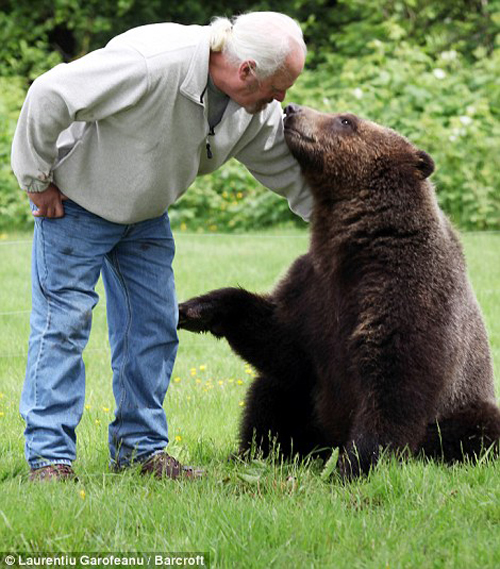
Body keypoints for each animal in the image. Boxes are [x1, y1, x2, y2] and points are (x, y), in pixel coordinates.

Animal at [179, 103, 500, 480]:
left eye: (346, 120)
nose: (292, 109)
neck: (354, 244)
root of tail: (326, 441)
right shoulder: (314, 287)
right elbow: (281, 340)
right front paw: (195, 309)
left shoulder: (408, 289)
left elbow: (397, 384)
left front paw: (354, 465)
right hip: (307, 405)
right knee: (271, 395)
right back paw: (252, 453)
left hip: (463, 408)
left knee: (476, 430)